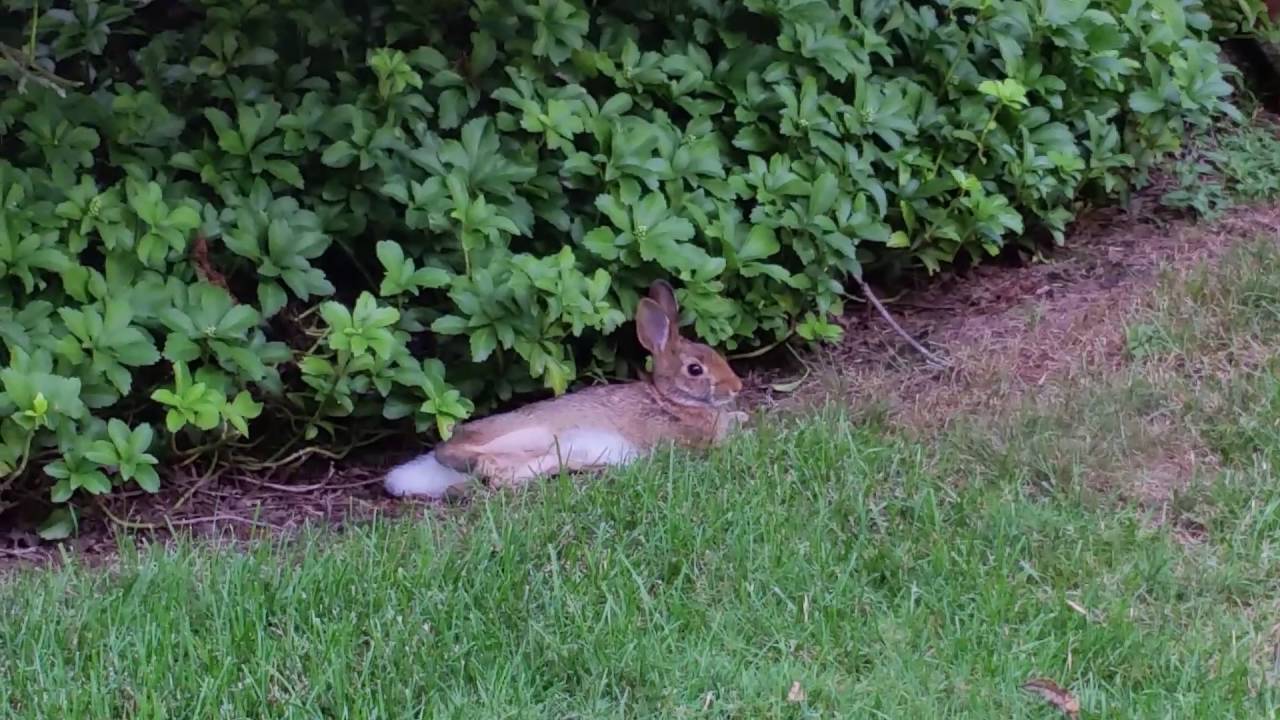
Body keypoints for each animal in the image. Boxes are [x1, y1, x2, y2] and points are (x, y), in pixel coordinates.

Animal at [384, 279, 749, 498]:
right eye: (695, 369)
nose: (737, 387)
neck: (671, 400)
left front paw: (742, 417)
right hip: (530, 431)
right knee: (458, 454)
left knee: (503, 478)